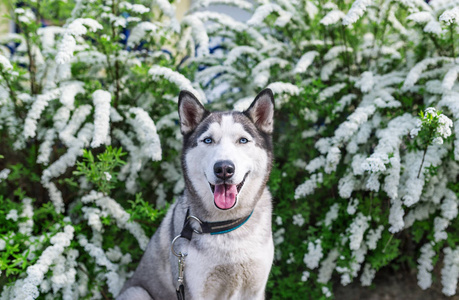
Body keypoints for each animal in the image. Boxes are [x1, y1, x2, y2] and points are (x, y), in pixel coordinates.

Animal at [119, 89, 276, 300]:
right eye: (208, 140)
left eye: (243, 140)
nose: (224, 168)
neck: (226, 226)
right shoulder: (195, 289)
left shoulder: (254, 290)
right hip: (137, 292)